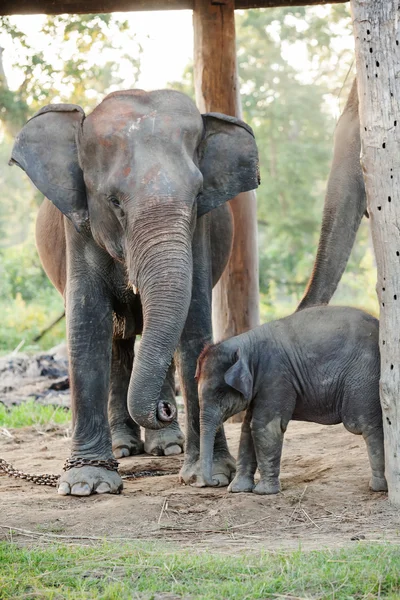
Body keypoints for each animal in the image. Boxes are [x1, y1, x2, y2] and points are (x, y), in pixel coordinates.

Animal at [10, 89, 260, 496]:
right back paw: (123, 448)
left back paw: (167, 446)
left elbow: (194, 323)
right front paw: (87, 485)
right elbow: (87, 324)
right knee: (117, 341)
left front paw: (210, 478)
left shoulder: (200, 230)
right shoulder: (77, 227)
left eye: (197, 196)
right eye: (114, 202)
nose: (166, 411)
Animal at [196, 308, 388, 494]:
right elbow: (247, 428)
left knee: (367, 426)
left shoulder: (275, 377)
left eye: (219, 392)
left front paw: (264, 492)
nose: (216, 482)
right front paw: (237, 489)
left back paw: (378, 487)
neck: (245, 344)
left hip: (365, 377)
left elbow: (264, 426)